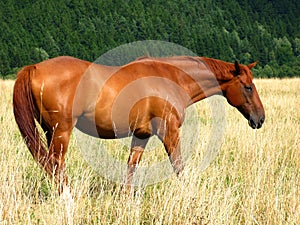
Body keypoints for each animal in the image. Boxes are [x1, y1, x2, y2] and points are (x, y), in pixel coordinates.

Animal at [12, 55, 264, 192]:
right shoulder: (169, 132)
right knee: (56, 163)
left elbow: (131, 167)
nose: (260, 118)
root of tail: (35, 67)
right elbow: (179, 166)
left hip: (49, 131)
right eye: (248, 87)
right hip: (61, 132)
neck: (172, 79)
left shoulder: (141, 135)